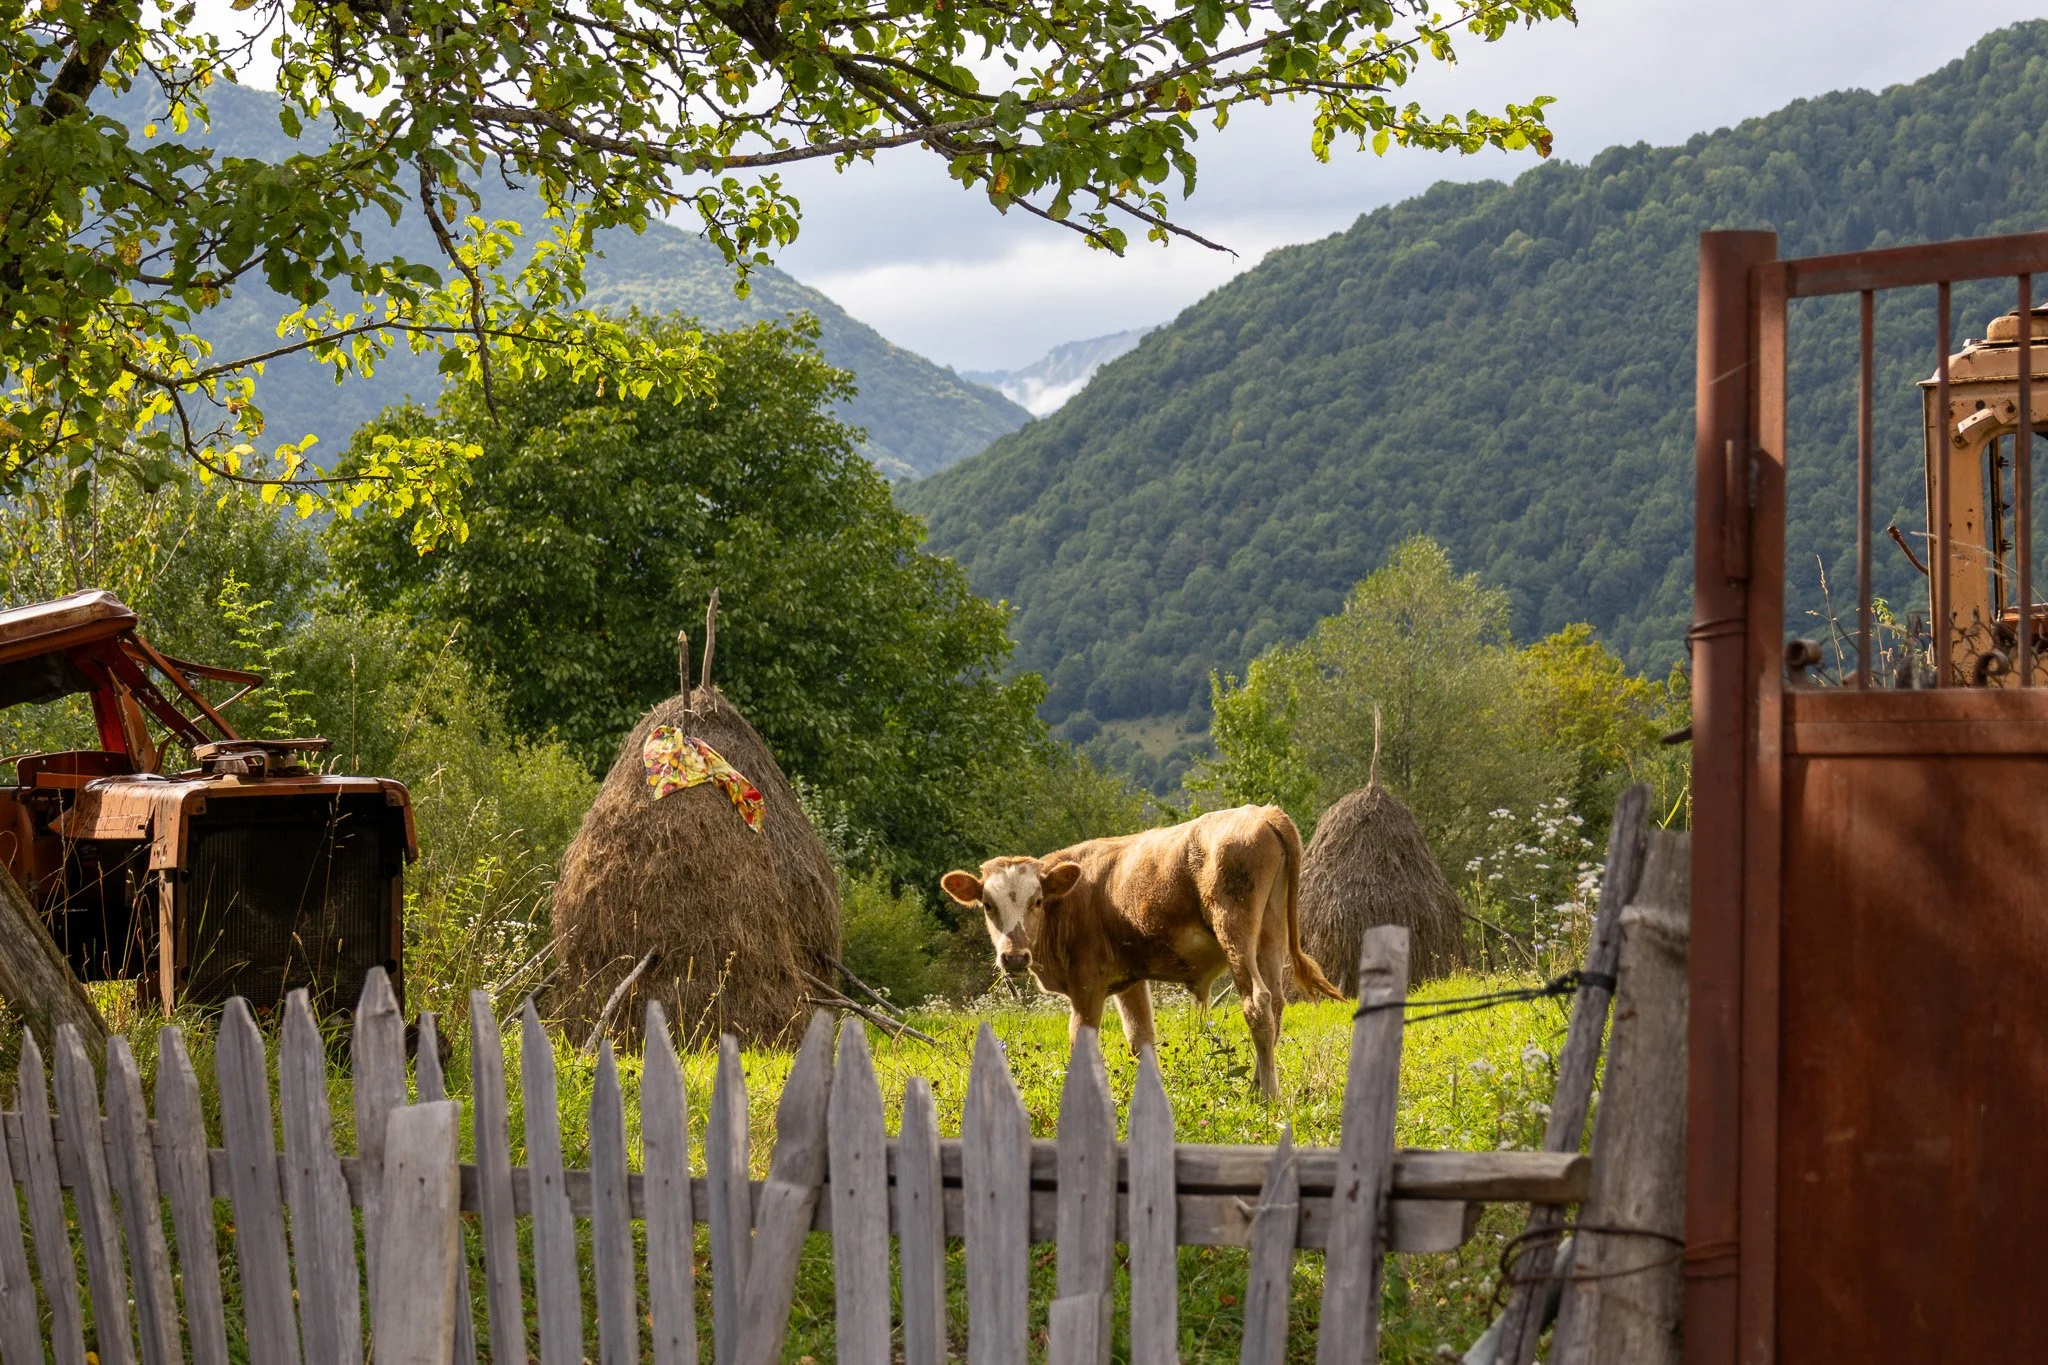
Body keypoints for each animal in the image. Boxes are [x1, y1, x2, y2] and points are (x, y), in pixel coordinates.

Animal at [940, 804, 1343, 1098]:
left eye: (1037, 901)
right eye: (988, 906)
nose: (1013, 957)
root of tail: (1262, 812)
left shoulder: (1086, 984)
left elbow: (1080, 1038)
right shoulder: (1129, 980)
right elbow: (1141, 1039)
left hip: (1236, 930)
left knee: (1257, 1004)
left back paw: (1267, 1096)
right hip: (1269, 934)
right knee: (1276, 1004)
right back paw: (1259, 1084)